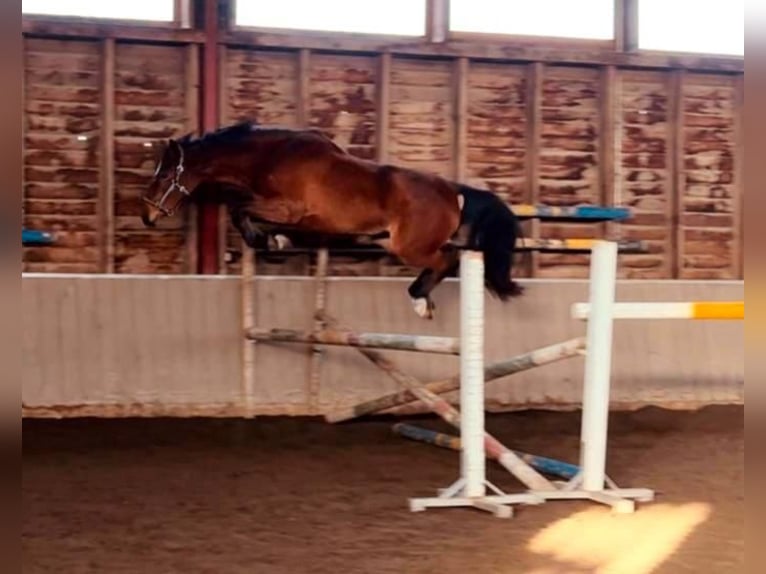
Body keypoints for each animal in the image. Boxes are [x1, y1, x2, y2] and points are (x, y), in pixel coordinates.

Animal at [140, 120, 524, 319]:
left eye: (164, 175)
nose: (147, 215)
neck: (270, 156)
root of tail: (452, 190)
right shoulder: (297, 217)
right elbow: (257, 218)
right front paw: (276, 241)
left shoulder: (288, 208)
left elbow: (240, 211)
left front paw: (262, 240)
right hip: (395, 242)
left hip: (409, 247)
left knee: (447, 259)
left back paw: (418, 299)